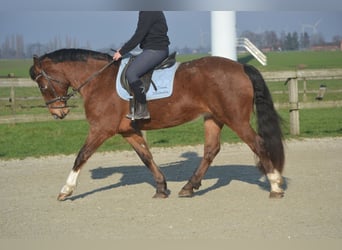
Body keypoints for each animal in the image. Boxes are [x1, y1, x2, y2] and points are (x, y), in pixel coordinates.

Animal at [29, 49, 284, 201]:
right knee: (211, 150)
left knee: (259, 144)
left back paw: (275, 186)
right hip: (214, 118)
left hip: (236, 119)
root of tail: (241, 67)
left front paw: (66, 190)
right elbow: (146, 157)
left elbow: (81, 155)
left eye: (42, 85)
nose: (58, 113)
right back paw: (189, 187)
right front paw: (161, 187)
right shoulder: (128, 131)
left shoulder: (101, 129)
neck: (99, 80)